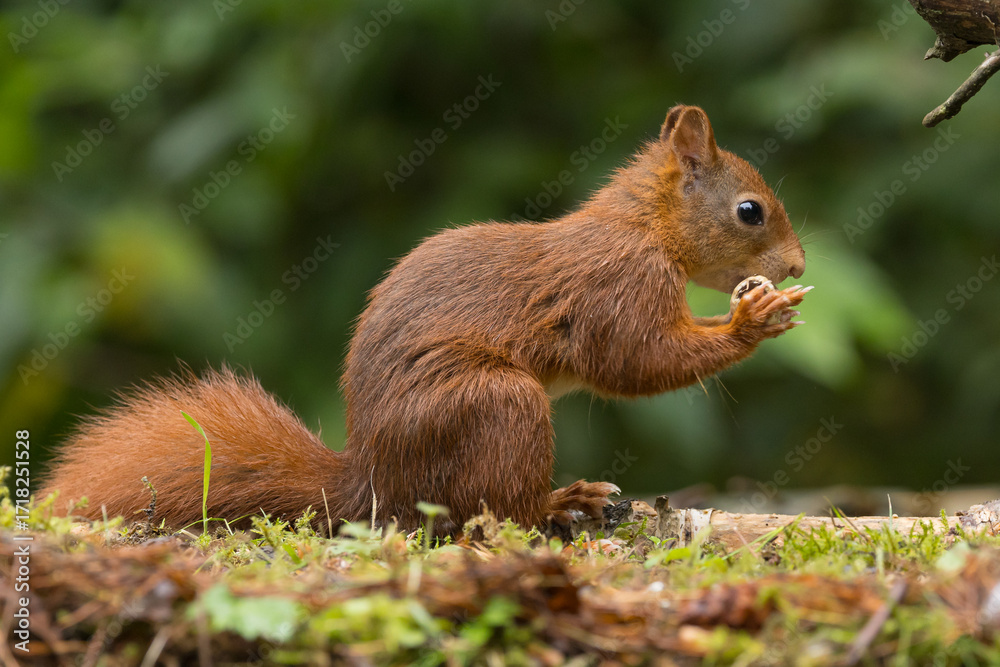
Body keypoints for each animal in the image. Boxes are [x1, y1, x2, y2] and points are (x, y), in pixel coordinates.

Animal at [40, 105, 807, 535]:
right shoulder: (616, 286)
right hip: (495, 404)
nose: (798, 264)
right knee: (492, 512)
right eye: (750, 211)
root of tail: (372, 482)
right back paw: (562, 501)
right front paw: (751, 320)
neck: (644, 228)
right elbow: (638, 360)